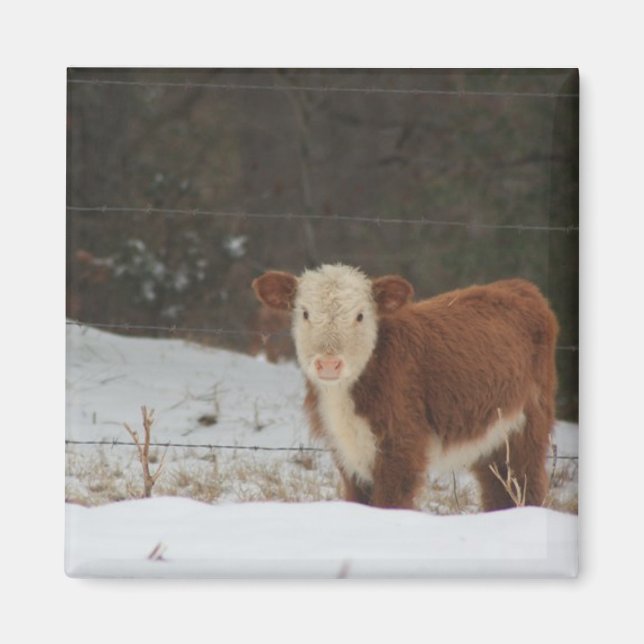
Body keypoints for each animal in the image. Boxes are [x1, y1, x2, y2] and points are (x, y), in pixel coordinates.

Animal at [252, 264, 559, 511]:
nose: (329, 364)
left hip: (528, 424)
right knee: (497, 488)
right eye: (304, 313)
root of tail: (520, 286)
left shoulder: (401, 447)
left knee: (526, 481)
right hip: (492, 438)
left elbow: (390, 502)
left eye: (360, 316)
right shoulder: (347, 453)